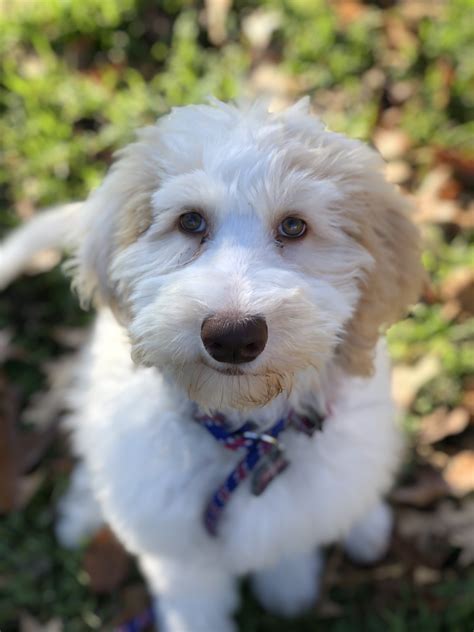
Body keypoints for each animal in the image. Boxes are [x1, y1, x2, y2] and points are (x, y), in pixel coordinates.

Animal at [0, 96, 422, 628]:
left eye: (294, 226)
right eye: (190, 222)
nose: (234, 337)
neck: (245, 438)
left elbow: (289, 543)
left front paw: (289, 589)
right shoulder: (175, 542)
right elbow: (193, 603)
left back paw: (367, 527)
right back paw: (80, 515)